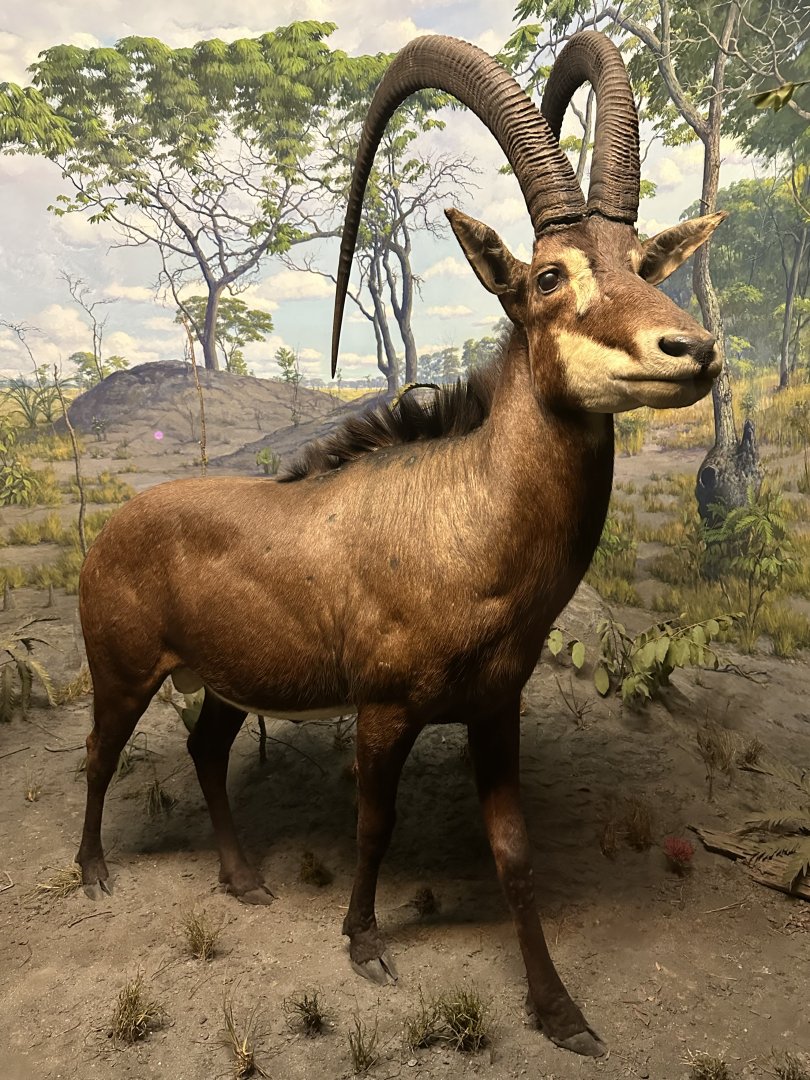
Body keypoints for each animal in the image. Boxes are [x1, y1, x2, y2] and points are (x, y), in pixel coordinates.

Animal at [76, 31, 725, 1056]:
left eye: (642, 262)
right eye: (550, 275)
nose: (691, 352)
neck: (465, 522)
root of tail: (113, 530)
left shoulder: (495, 711)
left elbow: (513, 853)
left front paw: (560, 1012)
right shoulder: (383, 712)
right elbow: (374, 824)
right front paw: (364, 943)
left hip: (224, 681)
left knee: (208, 750)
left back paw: (244, 880)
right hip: (124, 671)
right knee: (101, 754)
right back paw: (96, 872)